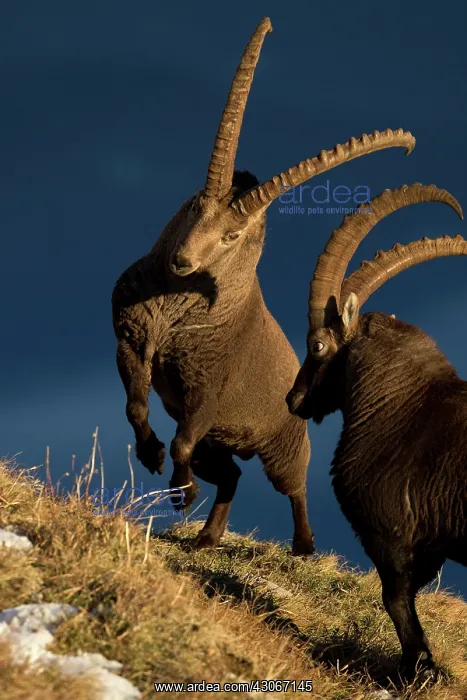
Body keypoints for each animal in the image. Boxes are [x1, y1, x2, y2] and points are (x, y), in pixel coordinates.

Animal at [112, 16, 416, 553]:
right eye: (194, 204)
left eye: (232, 235)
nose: (182, 261)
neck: (179, 315)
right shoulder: (133, 342)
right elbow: (134, 405)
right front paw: (150, 456)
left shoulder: (207, 392)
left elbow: (181, 441)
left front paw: (182, 492)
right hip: (222, 441)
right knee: (231, 475)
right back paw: (207, 536)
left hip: (281, 443)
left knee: (292, 486)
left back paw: (304, 544)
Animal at [287, 182, 466, 679]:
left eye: (317, 344)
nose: (294, 399)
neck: (403, 400)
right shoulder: (430, 543)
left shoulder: (388, 531)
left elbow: (396, 599)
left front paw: (417, 669)